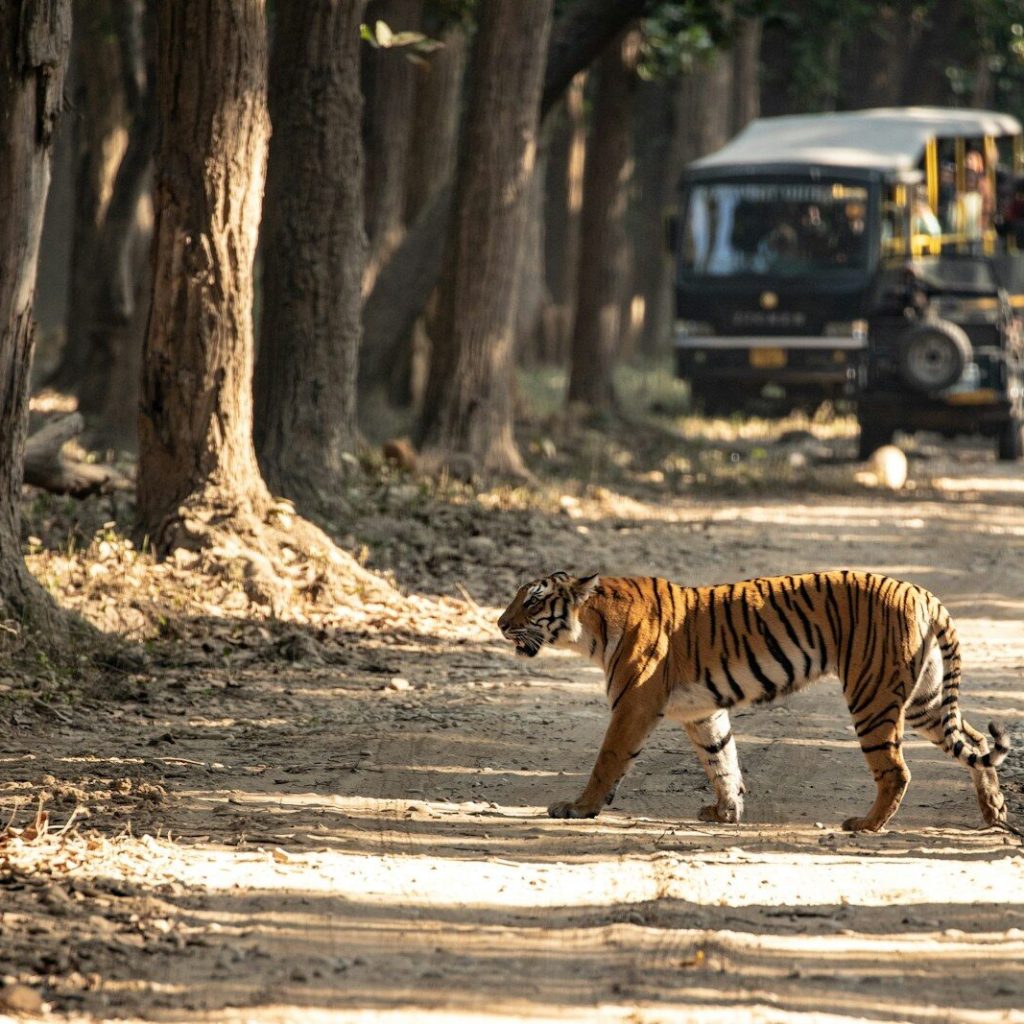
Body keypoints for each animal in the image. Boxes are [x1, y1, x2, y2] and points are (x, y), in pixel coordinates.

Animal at [497, 570, 1010, 832]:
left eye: (532, 601)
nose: (500, 623)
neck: (592, 630)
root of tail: (922, 592)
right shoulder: (703, 711)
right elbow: (722, 761)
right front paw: (725, 812)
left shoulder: (633, 705)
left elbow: (607, 759)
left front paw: (578, 808)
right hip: (925, 700)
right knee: (978, 741)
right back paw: (994, 812)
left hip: (873, 696)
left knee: (897, 770)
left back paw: (865, 824)